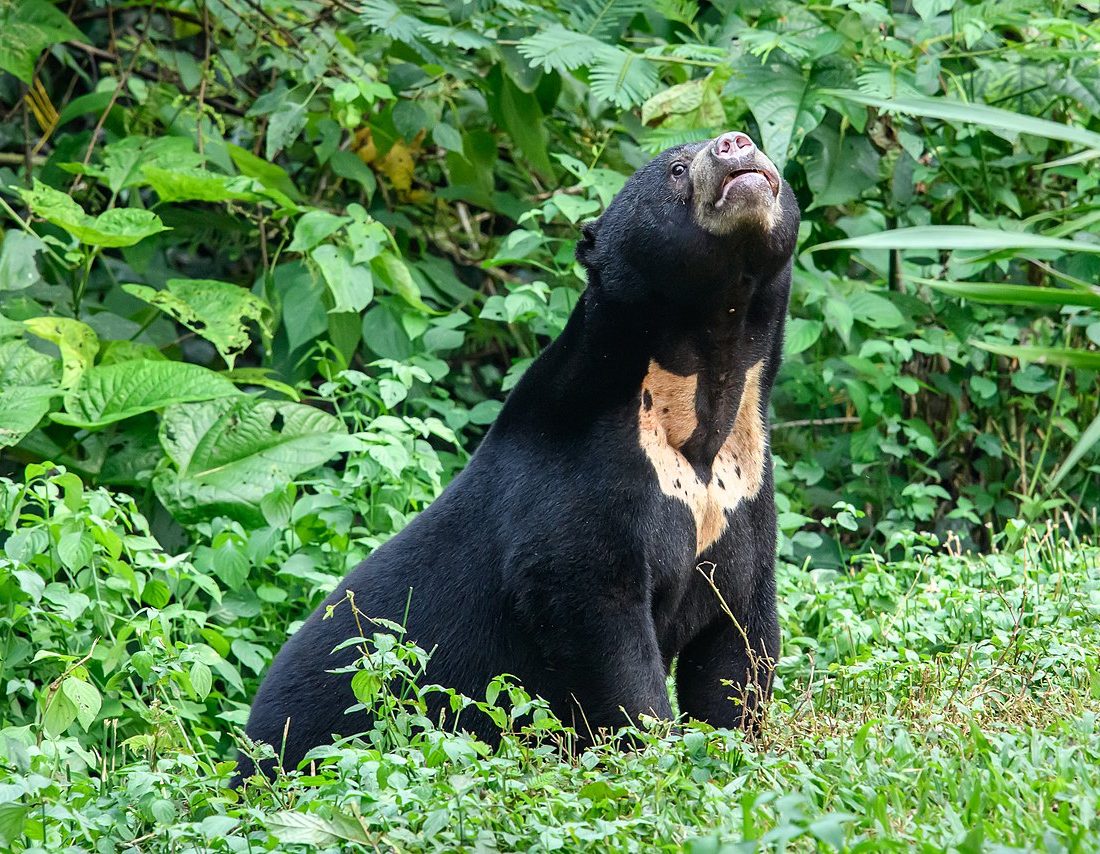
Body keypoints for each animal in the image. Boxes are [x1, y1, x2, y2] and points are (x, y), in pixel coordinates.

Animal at [236, 130, 800, 781]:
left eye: (746, 140)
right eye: (677, 169)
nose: (736, 143)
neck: (698, 405)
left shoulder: (744, 498)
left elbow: (740, 646)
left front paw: (736, 749)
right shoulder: (583, 490)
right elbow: (603, 632)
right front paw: (659, 757)